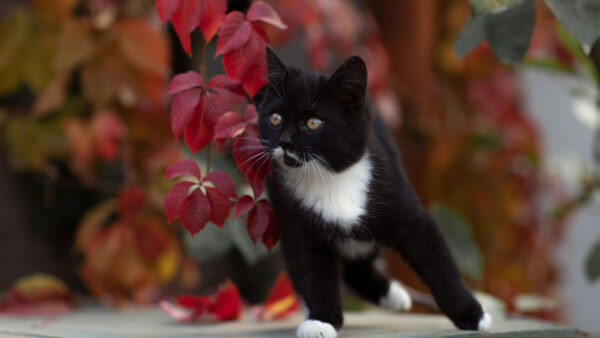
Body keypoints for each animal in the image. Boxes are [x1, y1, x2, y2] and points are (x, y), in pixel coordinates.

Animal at [254, 48, 492, 338]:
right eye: (275, 118)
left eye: (313, 123)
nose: (284, 142)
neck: (329, 177)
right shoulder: (297, 223)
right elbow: (312, 271)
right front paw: (321, 320)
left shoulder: (406, 208)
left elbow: (439, 263)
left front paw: (473, 316)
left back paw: (394, 295)